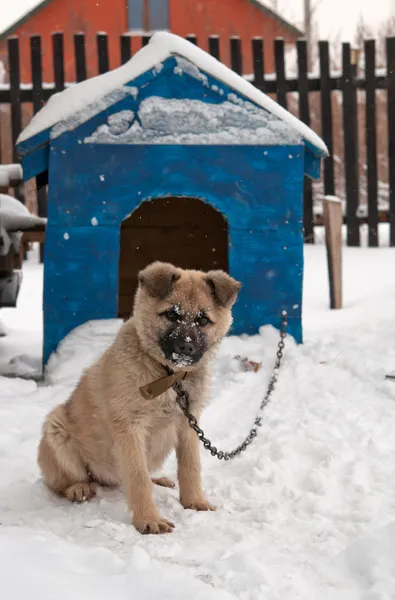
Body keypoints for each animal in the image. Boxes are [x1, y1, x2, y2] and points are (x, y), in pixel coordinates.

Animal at [38, 262, 241, 536]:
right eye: (171, 315)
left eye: (203, 319)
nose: (186, 348)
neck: (168, 376)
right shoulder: (130, 428)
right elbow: (137, 476)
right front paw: (148, 519)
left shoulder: (188, 425)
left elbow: (190, 466)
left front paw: (195, 501)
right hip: (56, 426)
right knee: (62, 481)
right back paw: (78, 488)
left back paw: (160, 479)